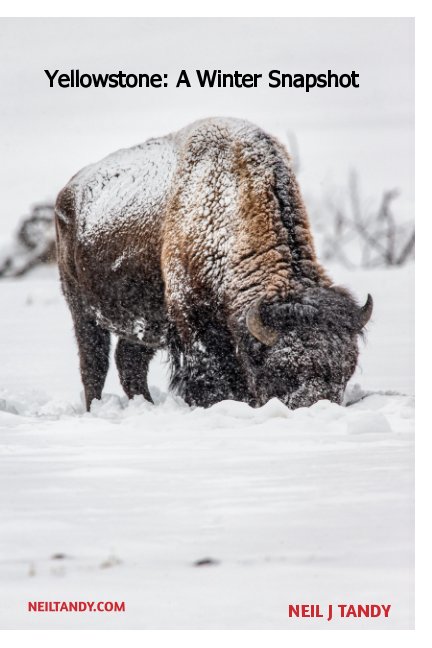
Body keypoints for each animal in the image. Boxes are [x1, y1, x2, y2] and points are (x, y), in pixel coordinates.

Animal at [54, 116, 372, 410]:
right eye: (282, 371)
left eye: (346, 370)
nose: (317, 406)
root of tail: (67, 191)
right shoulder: (193, 322)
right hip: (82, 312)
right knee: (94, 367)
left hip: (140, 321)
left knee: (129, 363)